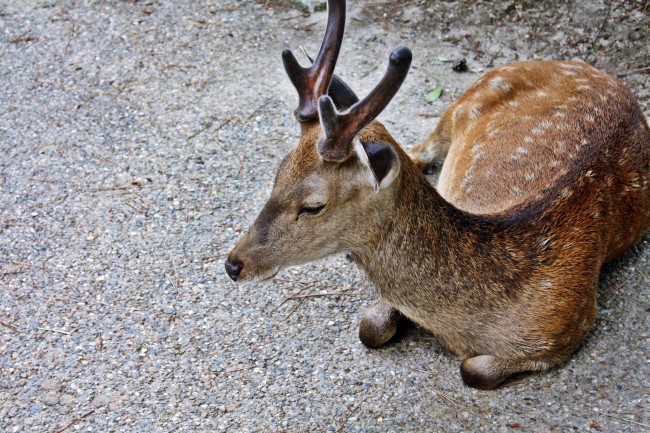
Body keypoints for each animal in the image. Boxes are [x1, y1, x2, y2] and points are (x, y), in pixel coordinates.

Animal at [225, 0, 650, 389]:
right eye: (277, 173)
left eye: (313, 206)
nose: (233, 264)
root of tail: (593, 69)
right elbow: (369, 327)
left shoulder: (568, 326)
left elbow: (473, 370)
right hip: (466, 98)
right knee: (419, 148)